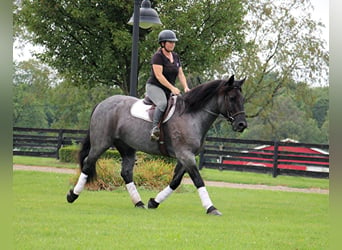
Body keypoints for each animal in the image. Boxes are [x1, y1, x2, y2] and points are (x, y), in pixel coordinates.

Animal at [67, 74, 247, 215]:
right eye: (232, 98)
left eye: (242, 99)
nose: (242, 125)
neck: (191, 115)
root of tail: (103, 103)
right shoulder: (185, 155)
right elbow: (198, 180)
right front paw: (211, 208)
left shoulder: (186, 157)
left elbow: (175, 181)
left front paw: (154, 202)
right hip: (101, 143)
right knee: (88, 163)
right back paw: (72, 195)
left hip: (127, 147)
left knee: (126, 173)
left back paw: (139, 203)